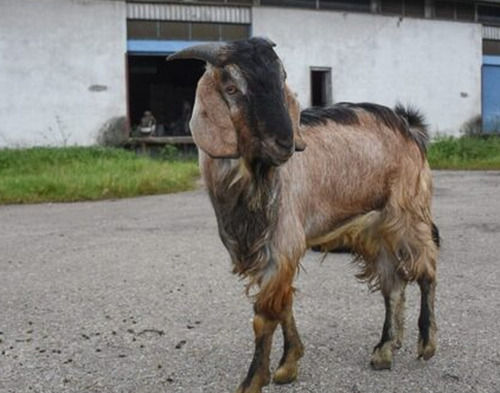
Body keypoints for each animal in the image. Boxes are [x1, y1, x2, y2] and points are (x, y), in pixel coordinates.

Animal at [168, 37, 438, 392]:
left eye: (281, 78)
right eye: (231, 87)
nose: (285, 142)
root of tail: (409, 126)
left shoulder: (282, 240)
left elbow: (265, 315)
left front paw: (253, 380)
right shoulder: (261, 248)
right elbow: (284, 305)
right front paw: (288, 365)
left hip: (408, 212)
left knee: (427, 268)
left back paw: (427, 343)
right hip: (375, 228)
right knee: (392, 285)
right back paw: (384, 350)